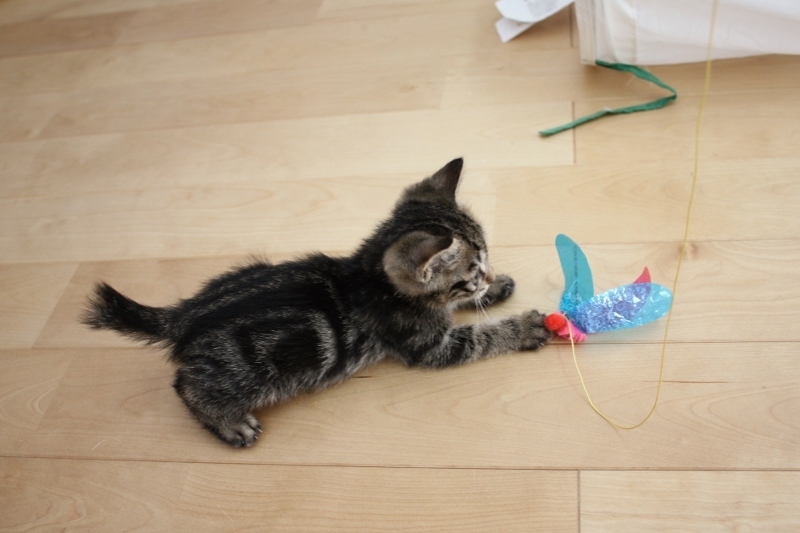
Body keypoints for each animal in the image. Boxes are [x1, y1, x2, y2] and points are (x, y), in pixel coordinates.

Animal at [83, 158, 551, 447]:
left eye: (485, 261)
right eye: (471, 271)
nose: (486, 277)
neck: (371, 279)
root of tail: (185, 315)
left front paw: (498, 288)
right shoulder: (428, 345)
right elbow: (480, 337)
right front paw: (522, 326)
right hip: (246, 372)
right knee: (186, 386)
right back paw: (228, 423)